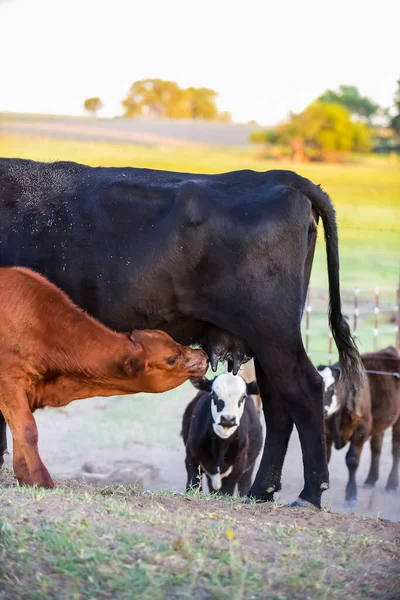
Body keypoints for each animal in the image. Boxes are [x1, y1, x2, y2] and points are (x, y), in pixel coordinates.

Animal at [0, 268, 209, 488]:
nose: (203, 355)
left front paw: (24, 476)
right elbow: (27, 430)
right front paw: (41, 480)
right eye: (171, 359)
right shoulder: (9, 381)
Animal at [318, 346, 400, 506]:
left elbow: (352, 460)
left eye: (331, 388)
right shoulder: (327, 430)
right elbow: (325, 457)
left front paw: (351, 495)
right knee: (376, 449)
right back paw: (370, 480)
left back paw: (392, 485)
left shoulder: (361, 429)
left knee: (395, 450)